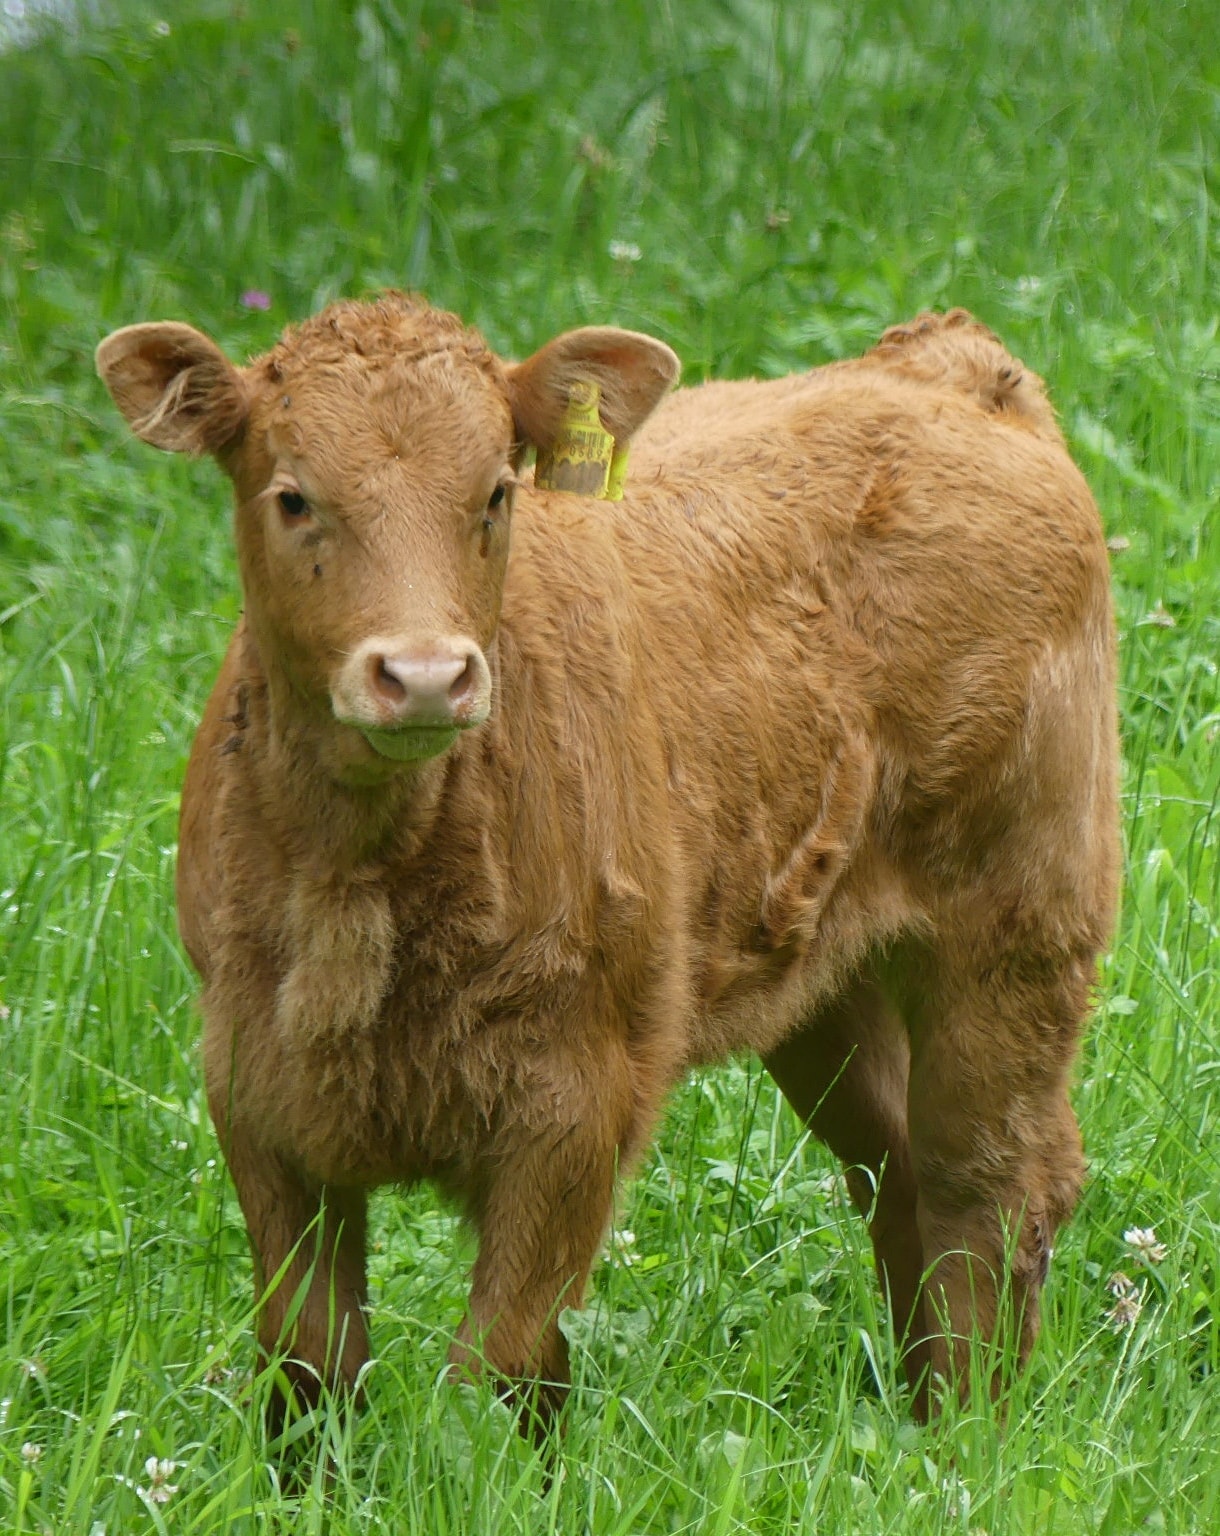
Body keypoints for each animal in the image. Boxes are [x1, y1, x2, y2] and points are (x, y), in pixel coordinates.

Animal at [96, 296, 1119, 1437]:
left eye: (496, 492)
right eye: (292, 496)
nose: (424, 675)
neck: (363, 878)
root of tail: (940, 366)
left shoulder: (577, 1097)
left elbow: (500, 1366)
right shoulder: (255, 1088)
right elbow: (309, 1361)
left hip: (1019, 925)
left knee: (984, 1183)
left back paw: (970, 1431)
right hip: (825, 982)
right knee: (895, 1169)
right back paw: (913, 1417)